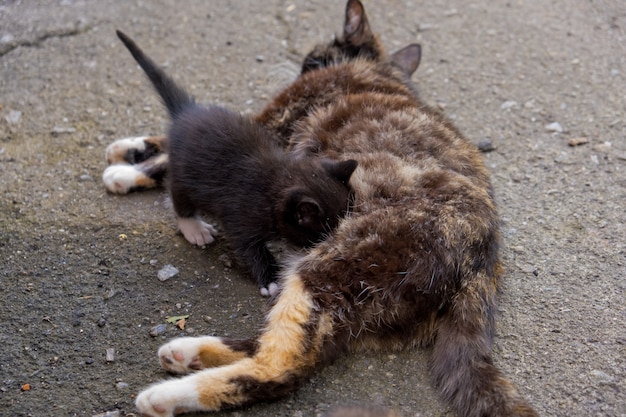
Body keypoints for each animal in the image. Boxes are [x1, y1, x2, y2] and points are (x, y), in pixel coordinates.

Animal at [114, 30, 354, 294]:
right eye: (322, 237)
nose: (338, 252)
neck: (276, 181)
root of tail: (187, 112)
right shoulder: (240, 216)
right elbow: (248, 248)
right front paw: (270, 279)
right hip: (184, 171)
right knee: (178, 196)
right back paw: (193, 227)